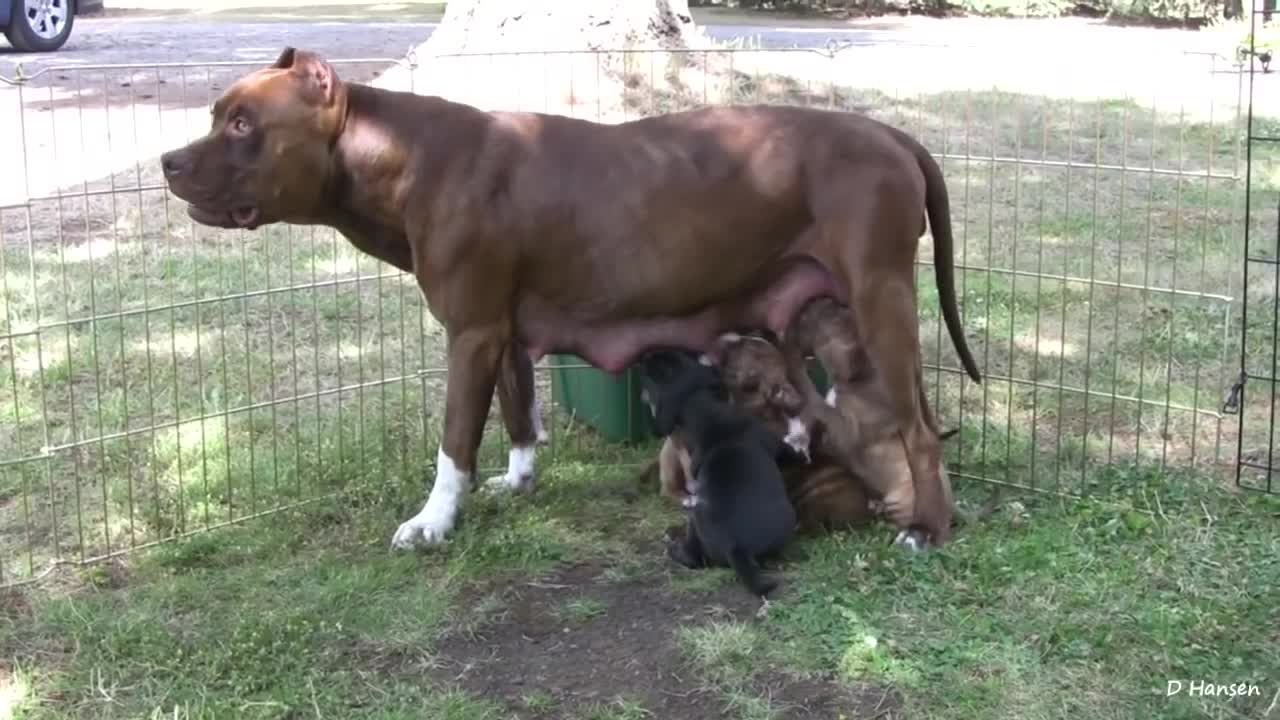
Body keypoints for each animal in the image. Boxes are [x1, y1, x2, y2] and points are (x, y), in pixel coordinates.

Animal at [160, 46, 977, 548]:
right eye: (216, 116)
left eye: (243, 124)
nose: (167, 160)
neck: (402, 156)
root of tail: (890, 134)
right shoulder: (503, 330)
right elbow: (519, 414)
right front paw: (518, 482)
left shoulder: (470, 333)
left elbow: (454, 440)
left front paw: (433, 523)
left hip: (879, 296)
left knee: (920, 431)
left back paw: (928, 529)